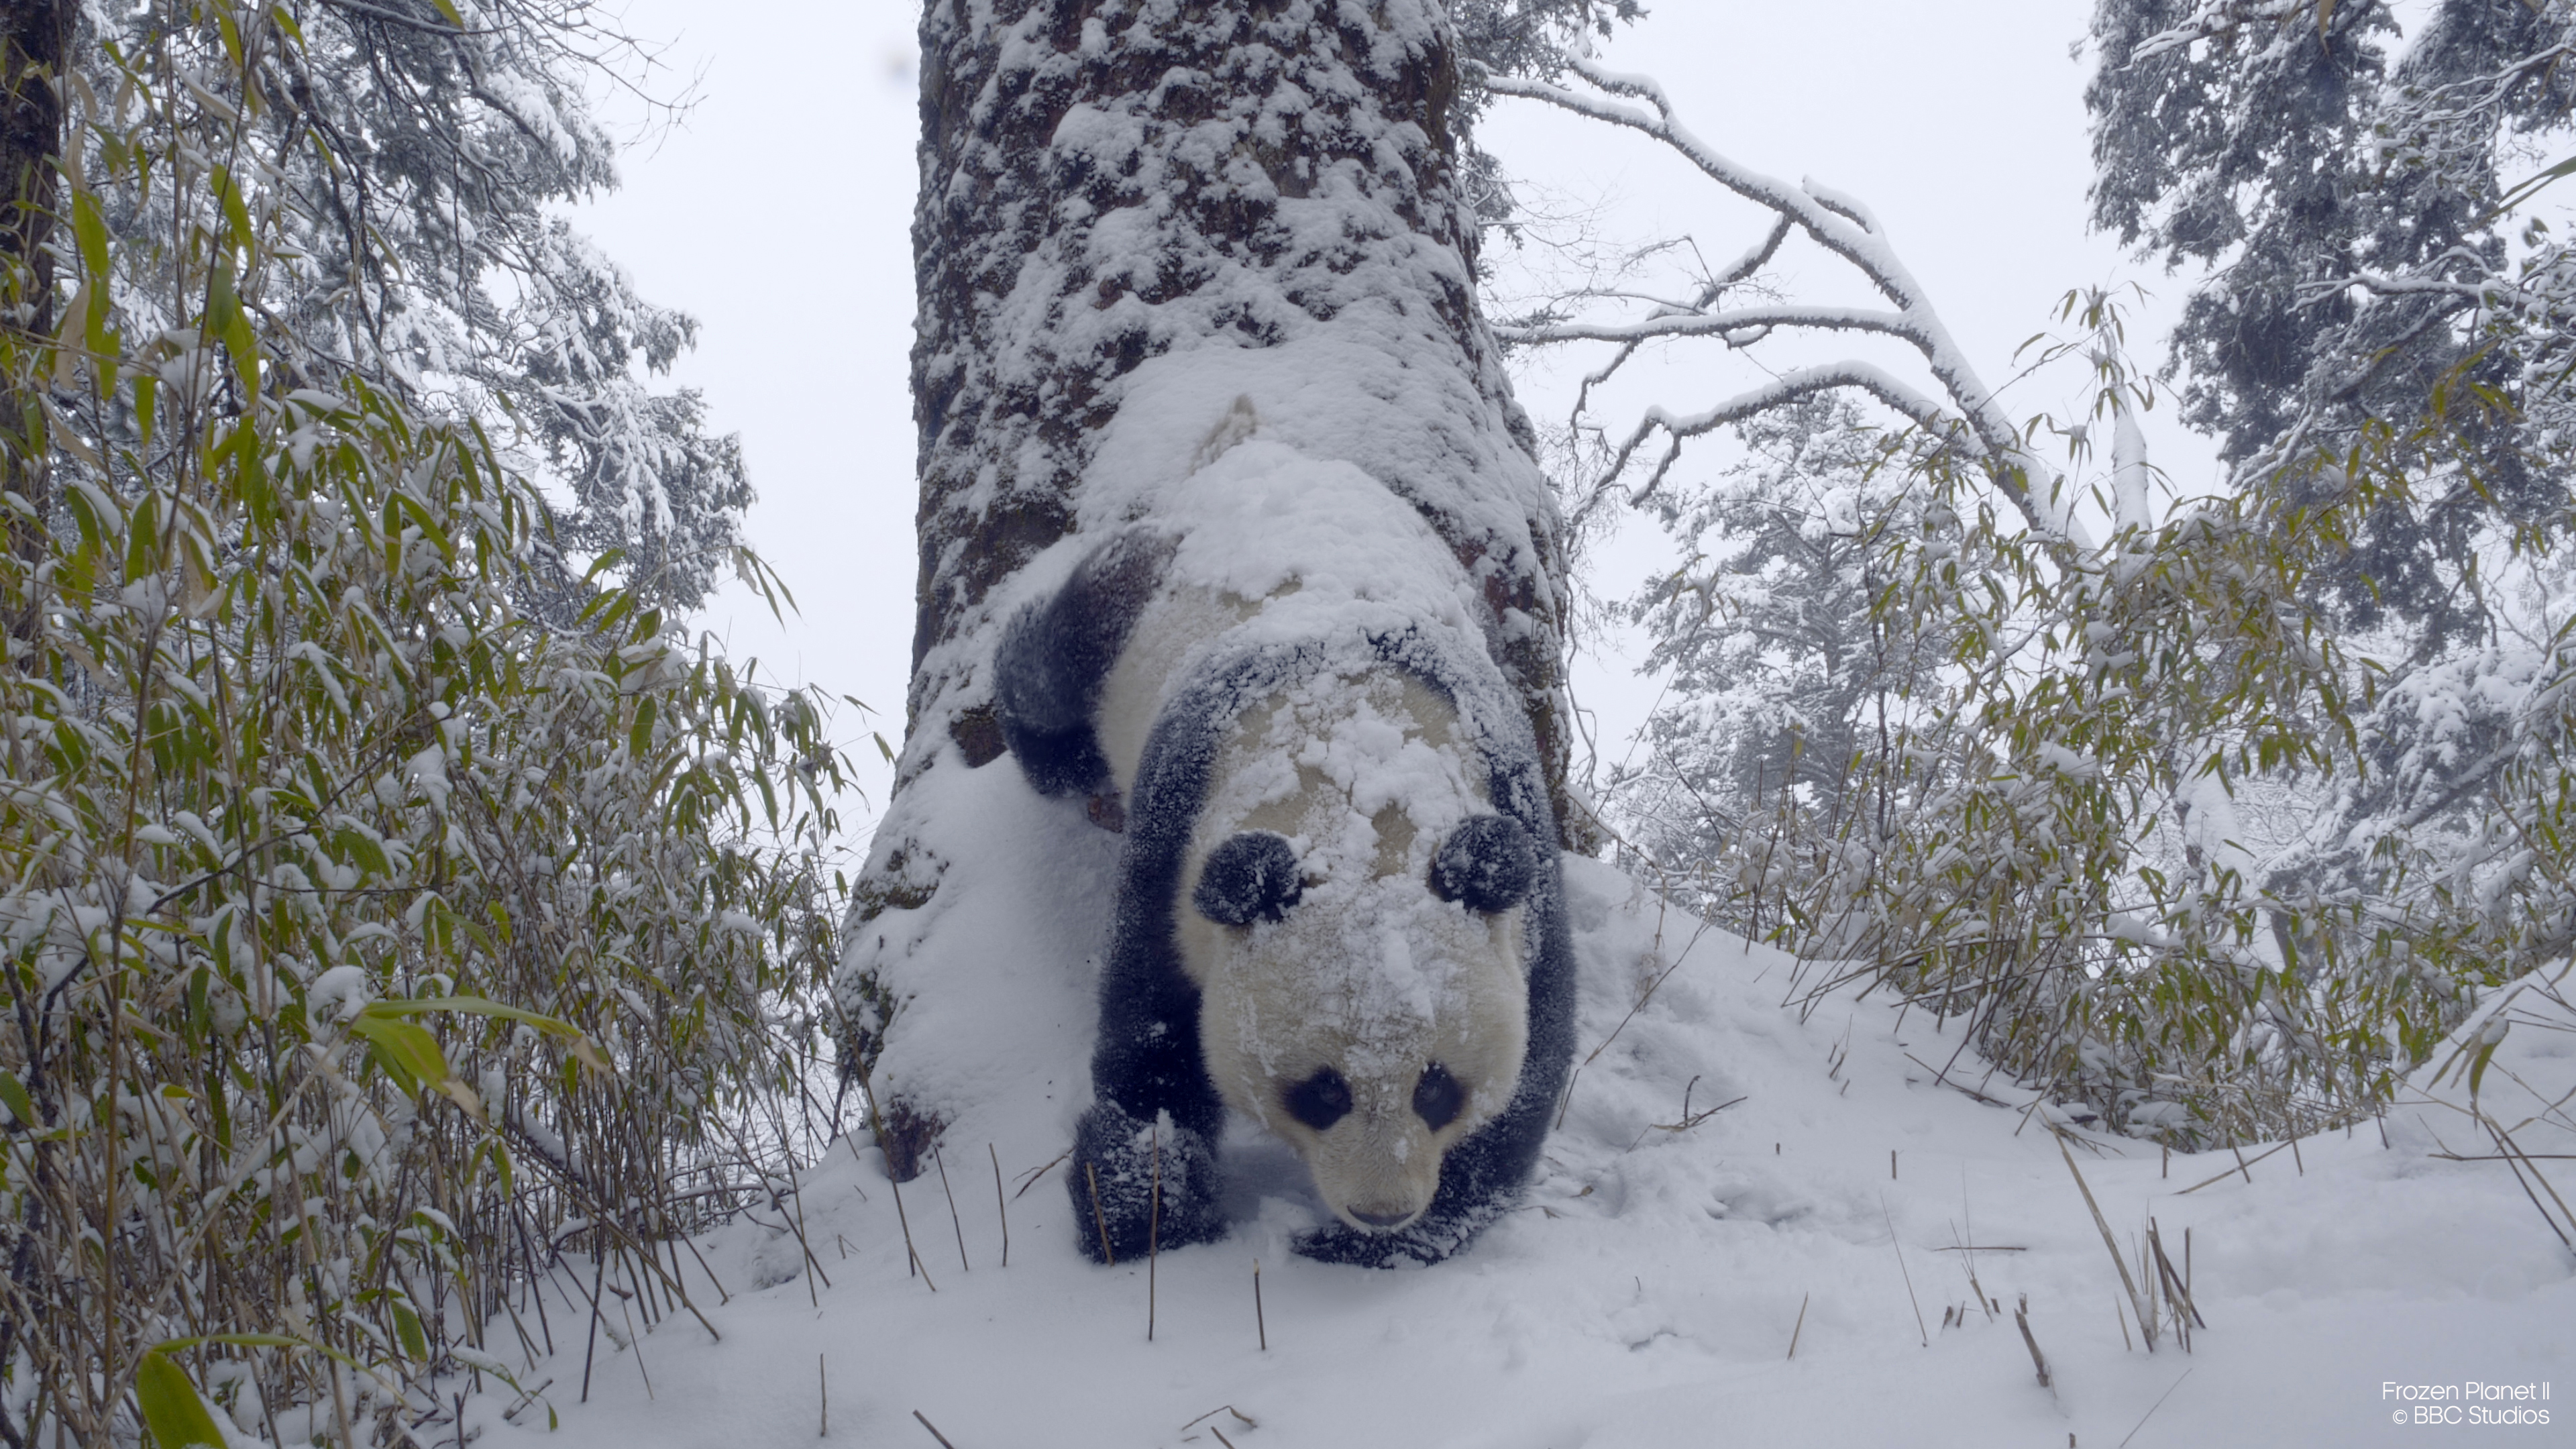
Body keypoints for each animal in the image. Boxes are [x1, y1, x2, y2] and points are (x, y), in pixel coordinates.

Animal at [994, 430, 1576, 1263]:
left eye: (1436, 1086)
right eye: (1324, 1089)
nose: (1380, 1210)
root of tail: (1262, 448)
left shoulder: (1513, 823)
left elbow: (1533, 1055)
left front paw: (1377, 1243)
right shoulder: (1180, 831)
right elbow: (1156, 1037)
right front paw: (1146, 1217)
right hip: (1140, 586)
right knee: (1048, 662)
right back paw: (1056, 752)